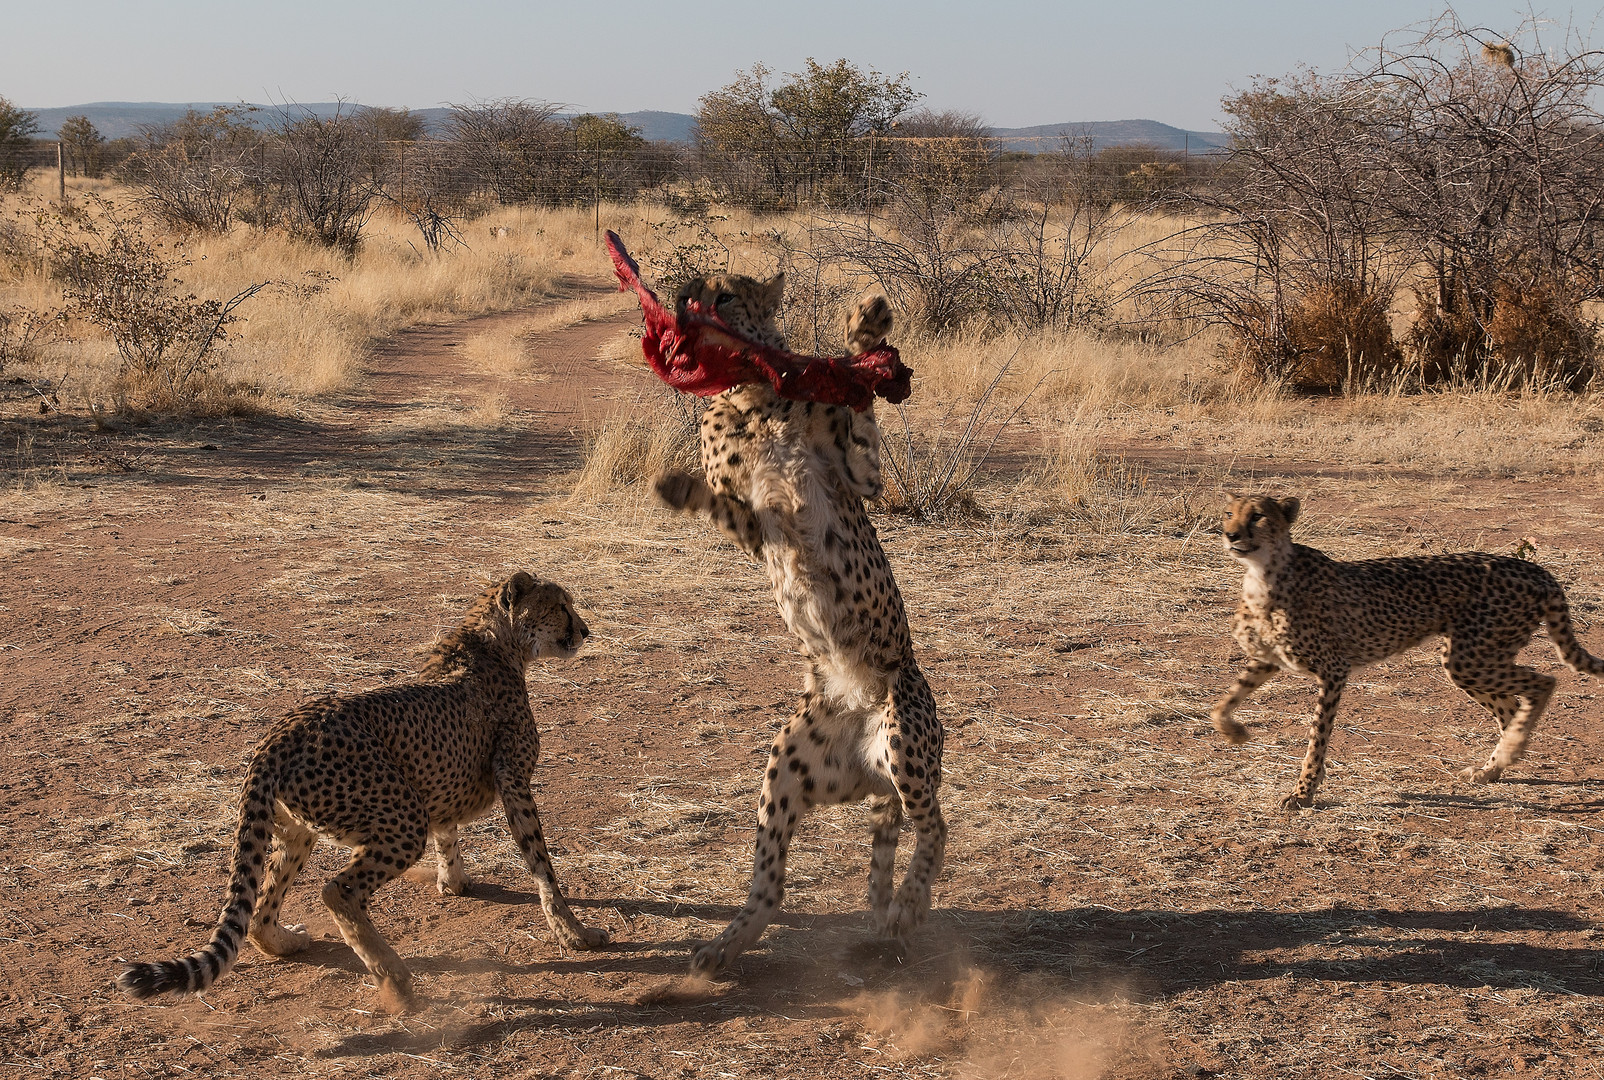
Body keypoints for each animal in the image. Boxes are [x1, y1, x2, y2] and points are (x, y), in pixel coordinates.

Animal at [116, 571, 606, 1014]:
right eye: (561, 606)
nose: (584, 630)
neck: (497, 640)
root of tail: (281, 731)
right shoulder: (514, 780)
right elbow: (541, 863)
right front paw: (575, 933)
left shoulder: (440, 789)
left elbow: (449, 835)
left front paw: (454, 883)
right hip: (401, 819)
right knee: (339, 892)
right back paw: (397, 981)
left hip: (299, 828)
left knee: (259, 908)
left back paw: (285, 941)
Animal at [654, 271, 943, 975]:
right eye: (692, 290)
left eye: (726, 294)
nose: (685, 303)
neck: (754, 395)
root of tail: (868, 769)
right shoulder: (752, 528)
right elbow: (720, 501)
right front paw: (677, 487)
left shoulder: (862, 478)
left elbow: (863, 426)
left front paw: (868, 329)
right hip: (788, 767)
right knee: (772, 884)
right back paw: (722, 949)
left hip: (904, 725)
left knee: (934, 825)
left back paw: (908, 905)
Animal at [1212, 494, 1604, 805]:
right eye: (1229, 513)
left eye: (1257, 516)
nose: (1230, 535)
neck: (1264, 572)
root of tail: (1535, 568)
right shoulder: (1268, 659)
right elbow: (1221, 703)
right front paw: (1235, 733)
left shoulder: (1334, 669)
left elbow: (1317, 735)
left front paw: (1304, 791)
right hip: (1470, 660)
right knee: (1511, 708)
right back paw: (1495, 767)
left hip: (1472, 658)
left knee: (1544, 683)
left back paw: (1508, 752)